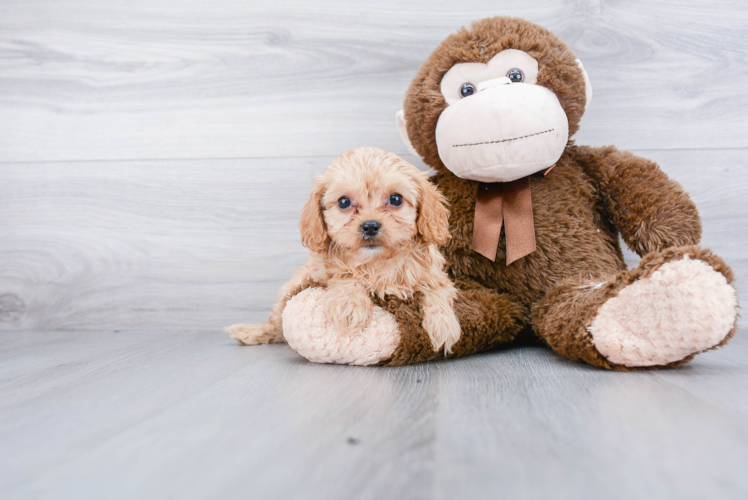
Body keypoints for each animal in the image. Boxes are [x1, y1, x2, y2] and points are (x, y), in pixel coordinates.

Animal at [228, 146, 462, 354]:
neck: (375, 262)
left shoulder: (434, 275)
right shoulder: (319, 271)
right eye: (344, 202)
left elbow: (436, 291)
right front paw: (350, 305)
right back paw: (252, 332)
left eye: (395, 199)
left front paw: (444, 326)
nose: (370, 226)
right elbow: (344, 274)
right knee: (276, 323)